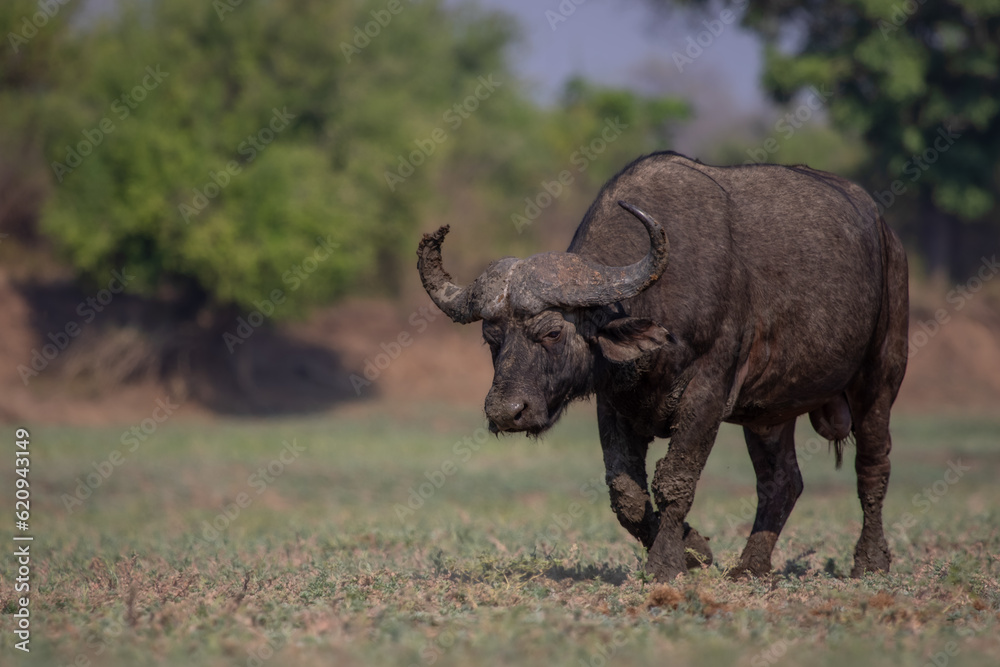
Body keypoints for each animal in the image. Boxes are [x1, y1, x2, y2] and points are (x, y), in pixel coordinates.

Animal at [416, 151, 908, 581]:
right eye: (491, 337)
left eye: (553, 332)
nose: (505, 412)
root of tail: (887, 234)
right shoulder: (614, 404)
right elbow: (626, 494)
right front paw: (695, 548)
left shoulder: (707, 393)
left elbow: (675, 480)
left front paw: (667, 562)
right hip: (769, 413)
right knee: (782, 481)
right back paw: (751, 566)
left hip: (880, 377)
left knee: (873, 465)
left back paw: (870, 562)